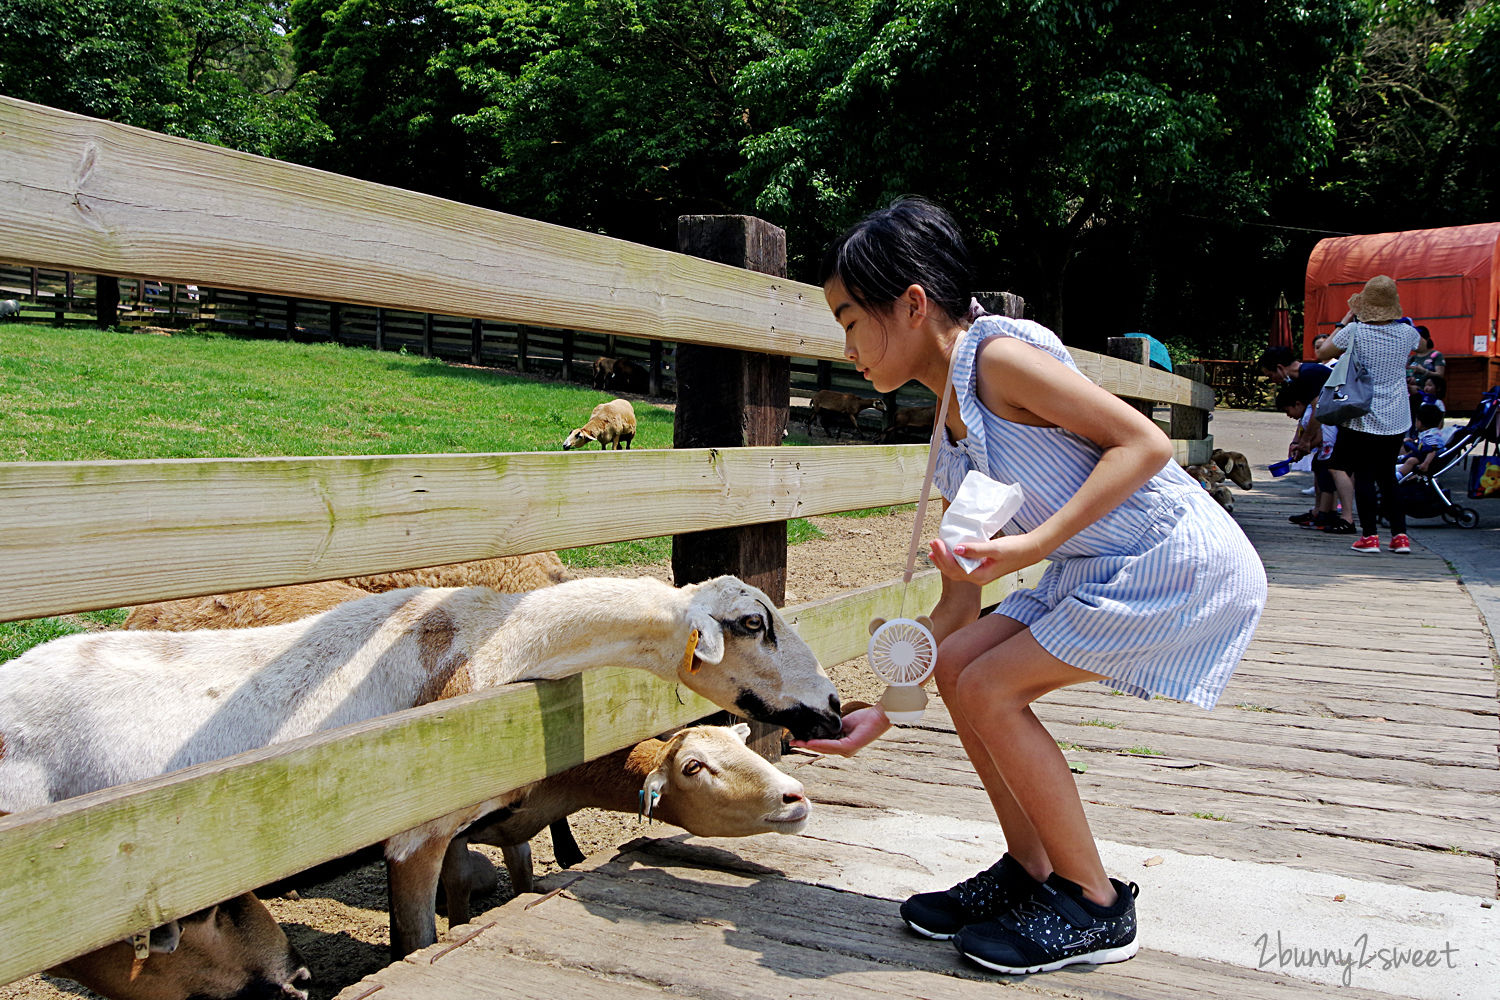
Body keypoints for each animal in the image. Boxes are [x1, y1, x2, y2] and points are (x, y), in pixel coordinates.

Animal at [438, 719, 816, 923]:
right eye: (692, 766)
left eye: (744, 747)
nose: (795, 795)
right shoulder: (447, 831)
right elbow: (459, 883)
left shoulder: (516, 827)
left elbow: (522, 869)